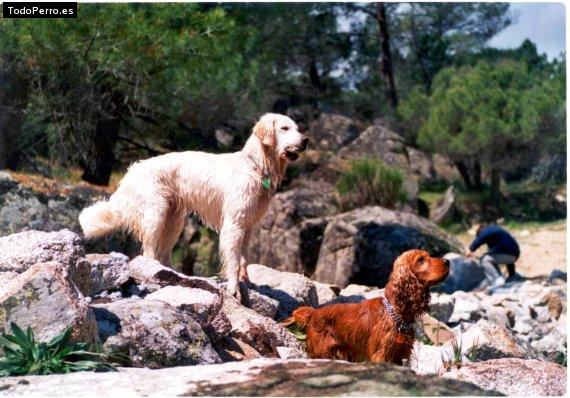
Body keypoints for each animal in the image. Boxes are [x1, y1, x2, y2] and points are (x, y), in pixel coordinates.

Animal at [78, 113, 308, 296]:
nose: (306, 140)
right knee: (149, 251)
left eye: (297, 128)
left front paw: (248, 283)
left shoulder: (248, 225)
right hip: (157, 213)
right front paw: (234, 288)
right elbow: (234, 259)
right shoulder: (234, 224)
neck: (255, 165)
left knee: (163, 253)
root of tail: (132, 171)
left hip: (175, 220)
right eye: (284, 128)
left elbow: (244, 258)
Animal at [282, 250, 446, 366]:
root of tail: (314, 312)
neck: (396, 313)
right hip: (321, 352)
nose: (447, 261)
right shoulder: (381, 355)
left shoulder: (401, 355)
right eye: (421, 260)